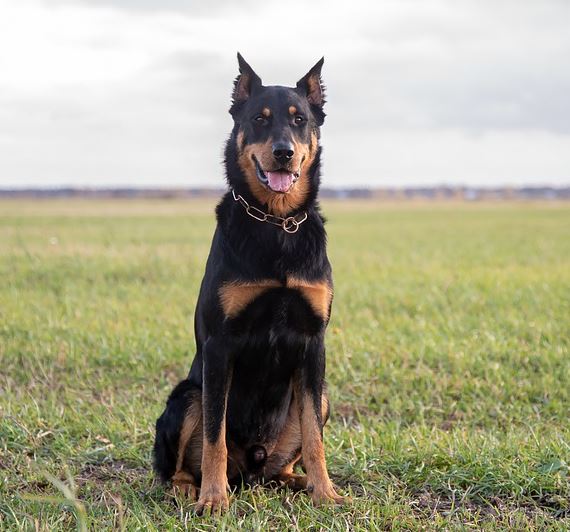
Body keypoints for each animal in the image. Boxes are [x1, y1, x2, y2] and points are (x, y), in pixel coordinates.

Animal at [152, 54, 346, 516]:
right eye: (260, 119)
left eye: (299, 120)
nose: (283, 153)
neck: (276, 223)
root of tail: (254, 468)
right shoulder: (220, 346)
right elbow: (214, 438)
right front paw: (213, 498)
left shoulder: (313, 343)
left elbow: (315, 436)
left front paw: (326, 491)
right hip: (186, 396)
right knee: (179, 464)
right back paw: (189, 488)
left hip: (322, 397)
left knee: (287, 456)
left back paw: (298, 481)